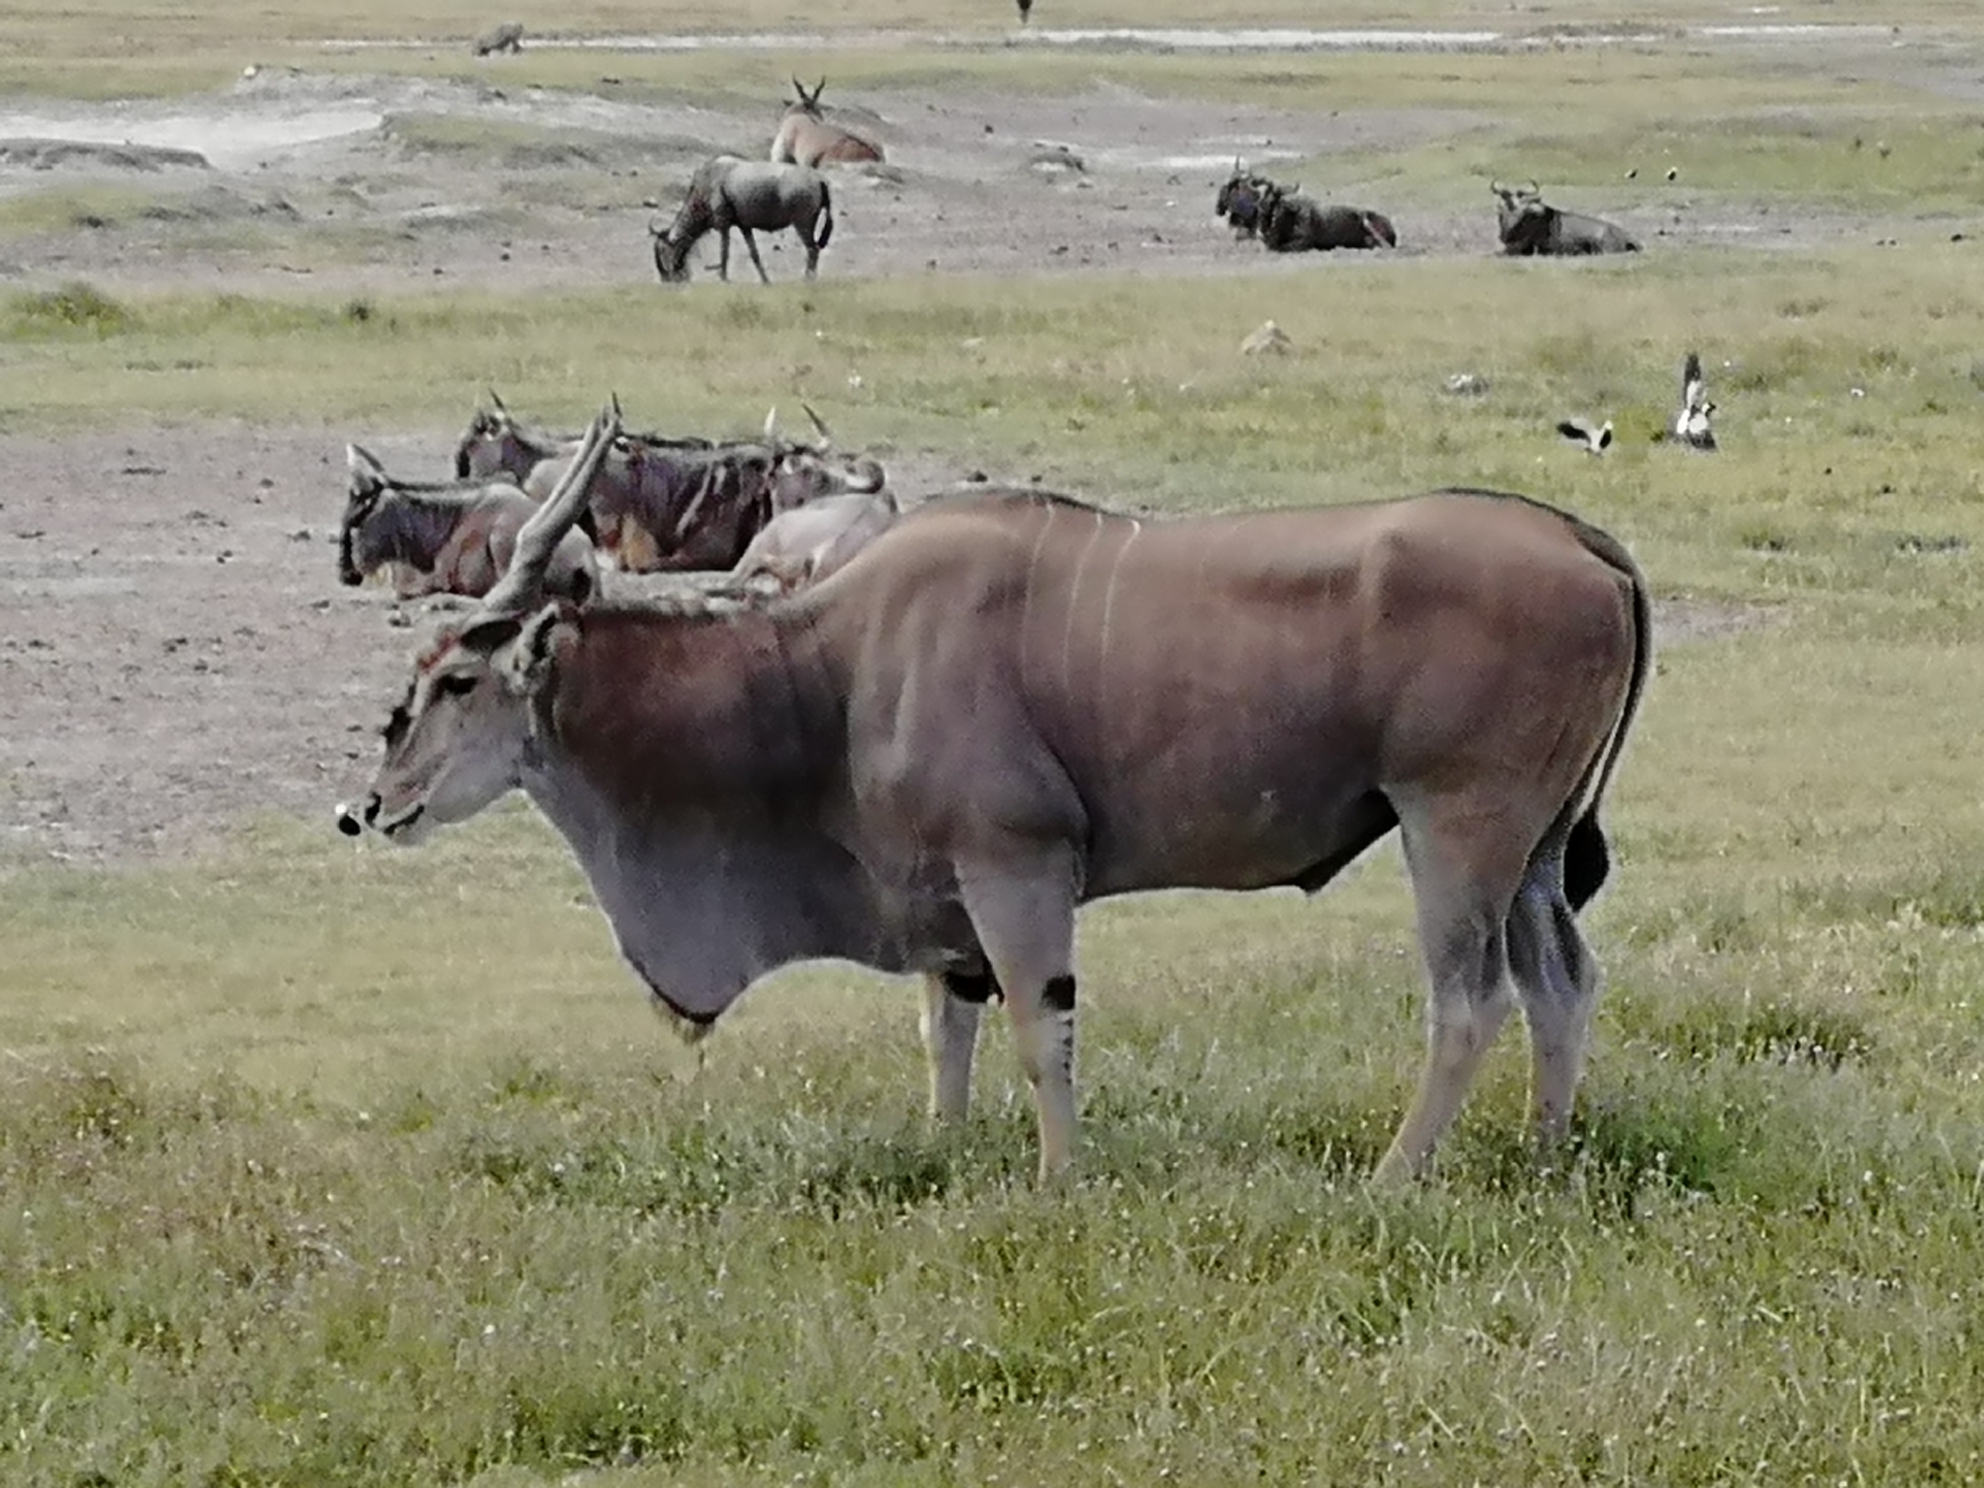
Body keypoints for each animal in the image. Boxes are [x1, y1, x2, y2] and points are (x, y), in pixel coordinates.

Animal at [341, 402, 1642, 1198]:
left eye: (456, 679)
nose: (370, 806)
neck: (830, 666)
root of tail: (1590, 542)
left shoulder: (1016, 865)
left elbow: (1035, 1027)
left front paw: (1057, 1183)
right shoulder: (941, 900)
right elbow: (946, 1031)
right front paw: (943, 1151)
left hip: (1455, 829)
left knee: (1469, 1002)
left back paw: (1393, 1176)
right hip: (1530, 849)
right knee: (1562, 982)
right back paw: (1544, 1159)